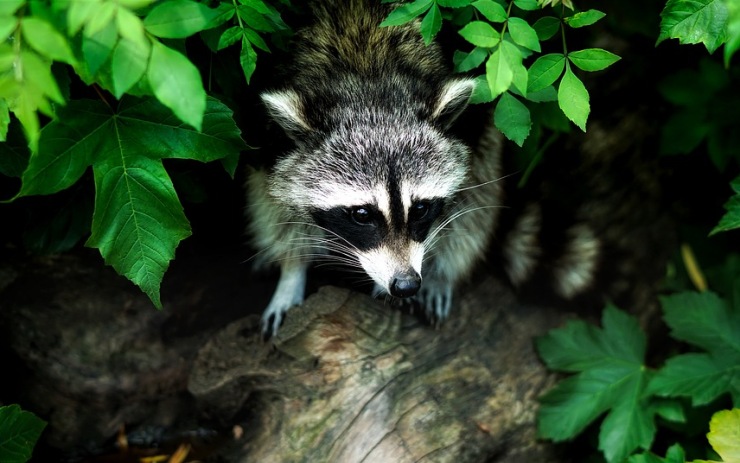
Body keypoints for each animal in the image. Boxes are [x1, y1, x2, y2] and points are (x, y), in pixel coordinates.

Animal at [247, 0, 502, 336]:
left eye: (420, 209)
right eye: (362, 214)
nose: (406, 284)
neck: (368, 76)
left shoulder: (473, 124)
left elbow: (471, 198)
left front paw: (438, 272)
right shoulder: (268, 139)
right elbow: (274, 204)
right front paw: (291, 272)